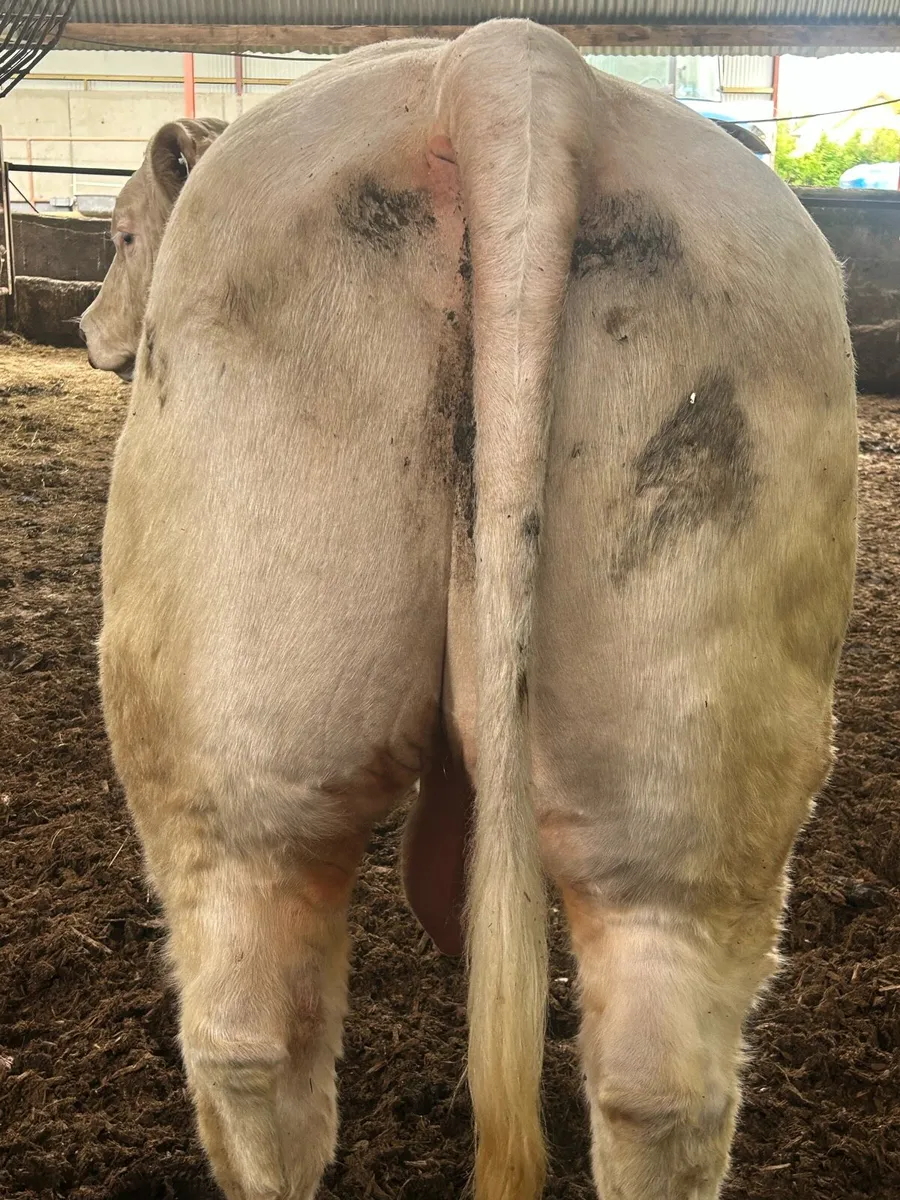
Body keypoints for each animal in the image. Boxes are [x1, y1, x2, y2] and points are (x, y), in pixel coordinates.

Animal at [97, 21, 857, 1200]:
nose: (93, 335)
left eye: (123, 232)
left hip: (194, 695)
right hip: (678, 741)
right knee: (657, 1078)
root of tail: (512, 62)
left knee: (244, 1039)